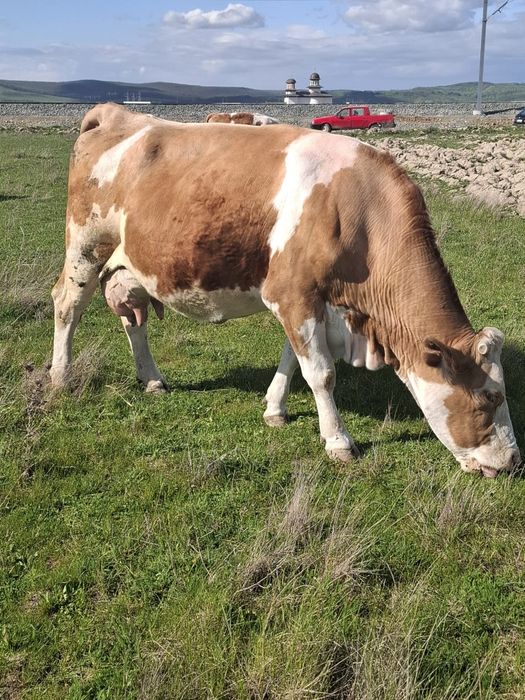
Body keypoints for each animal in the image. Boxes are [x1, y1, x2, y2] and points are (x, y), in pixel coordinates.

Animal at [50, 103, 520, 477]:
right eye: (490, 397)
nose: (513, 463)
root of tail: (117, 114)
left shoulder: (309, 300)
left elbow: (292, 360)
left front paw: (275, 409)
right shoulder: (292, 293)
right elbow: (322, 373)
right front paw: (339, 442)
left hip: (129, 266)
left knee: (134, 319)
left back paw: (151, 379)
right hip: (85, 248)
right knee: (67, 305)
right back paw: (60, 377)